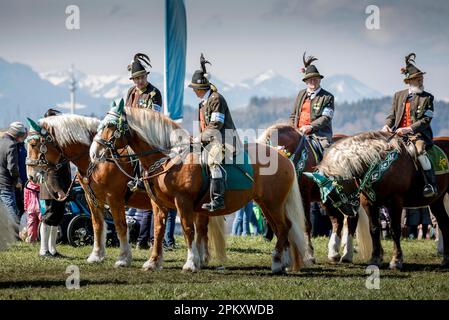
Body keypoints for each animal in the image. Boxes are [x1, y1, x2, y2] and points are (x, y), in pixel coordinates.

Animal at [24, 114, 226, 268]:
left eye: (34, 144)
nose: (31, 175)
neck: (96, 160)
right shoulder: (91, 198)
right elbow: (97, 225)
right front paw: (96, 255)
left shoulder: (114, 198)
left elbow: (121, 226)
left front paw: (123, 257)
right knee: (201, 228)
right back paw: (201, 258)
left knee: (199, 228)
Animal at [89, 101, 310, 274]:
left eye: (111, 126)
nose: (94, 153)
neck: (170, 159)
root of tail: (283, 156)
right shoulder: (158, 204)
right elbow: (159, 230)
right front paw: (153, 262)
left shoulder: (183, 203)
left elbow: (188, 230)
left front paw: (190, 263)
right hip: (267, 205)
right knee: (282, 229)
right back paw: (284, 262)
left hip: (273, 204)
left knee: (284, 227)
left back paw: (277, 263)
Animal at [306, 131, 448, 268]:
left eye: (335, 191)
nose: (349, 211)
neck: (380, 164)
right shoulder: (369, 203)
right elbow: (374, 229)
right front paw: (375, 258)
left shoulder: (395, 201)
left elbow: (395, 229)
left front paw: (396, 260)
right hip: (437, 201)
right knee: (444, 223)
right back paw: (445, 259)